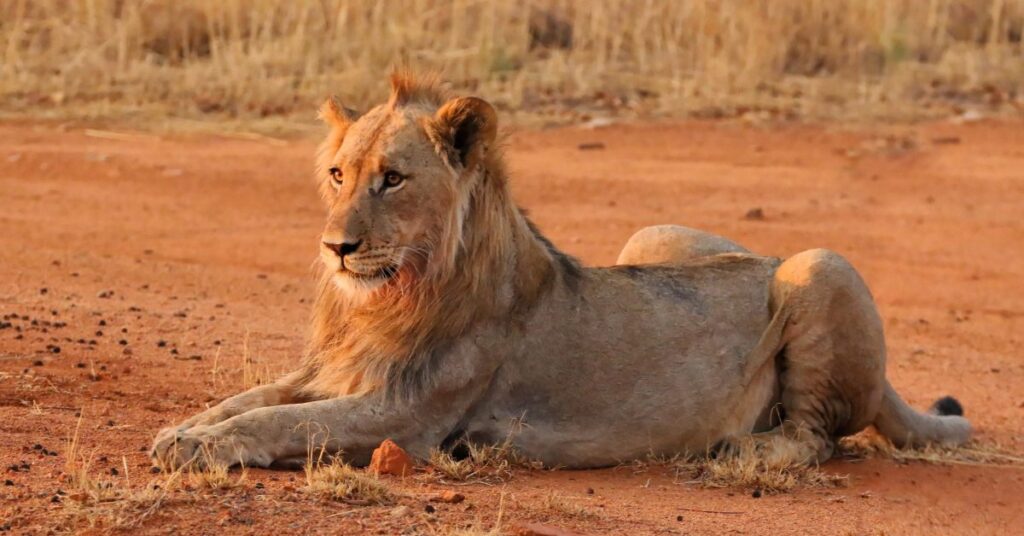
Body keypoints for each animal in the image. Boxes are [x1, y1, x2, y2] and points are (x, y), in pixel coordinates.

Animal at [151, 73, 971, 471]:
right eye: (336, 174)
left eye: (392, 179)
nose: (336, 248)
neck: (387, 296)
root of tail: (766, 255)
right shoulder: (338, 371)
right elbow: (251, 397)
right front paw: (182, 429)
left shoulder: (407, 414)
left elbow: (287, 420)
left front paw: (199, 448)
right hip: (654, 234)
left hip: (816, 265)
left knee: (817, 435)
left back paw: (745, 448)